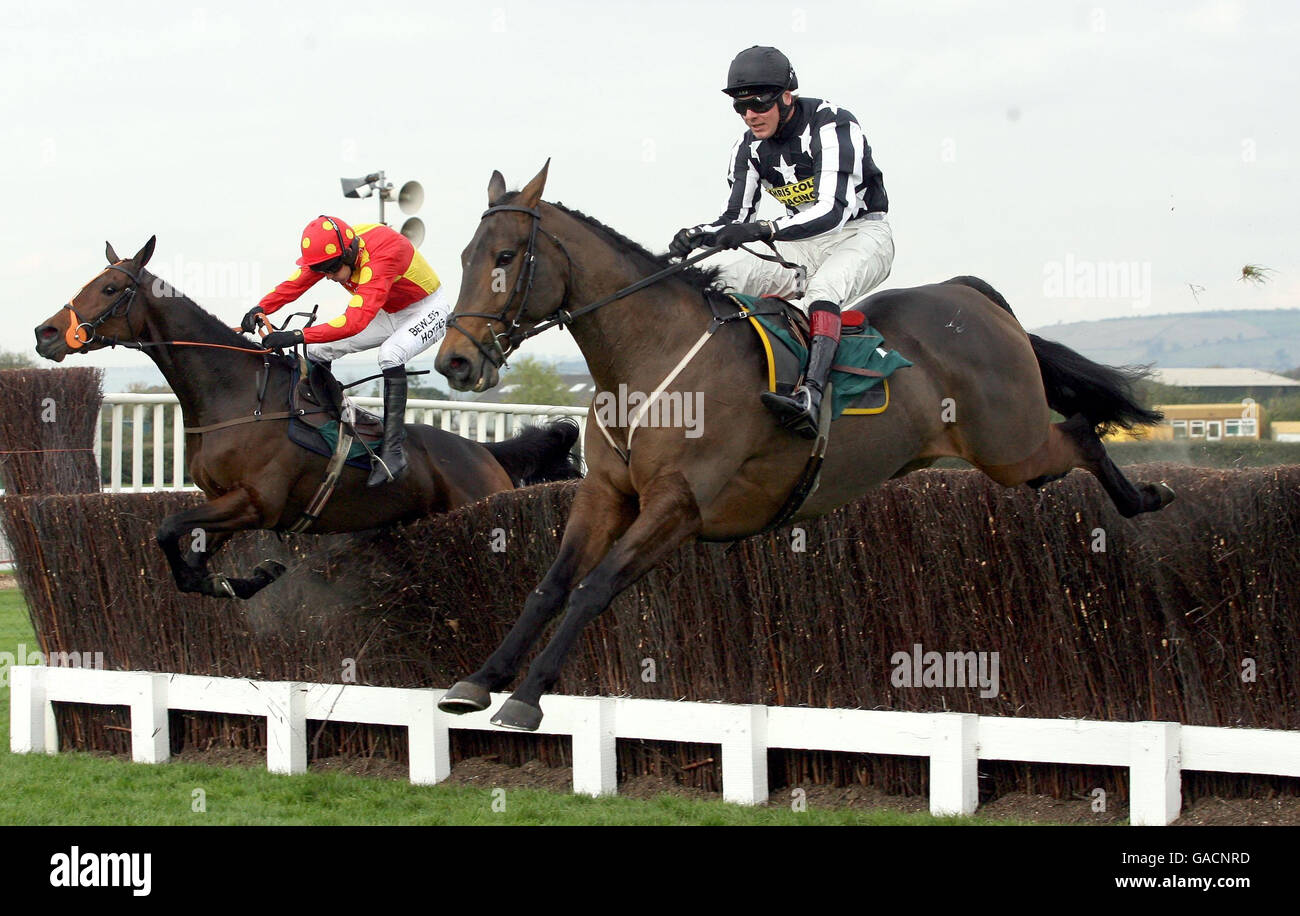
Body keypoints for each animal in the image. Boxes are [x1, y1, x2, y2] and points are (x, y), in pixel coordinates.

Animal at [32, 233, 582, 600]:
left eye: (109, 289)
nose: (46, 333)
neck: (239, 397)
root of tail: (483, 451)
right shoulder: (228, 502)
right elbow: (188, 556)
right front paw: (244, 580)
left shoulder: (256, 501)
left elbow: (168, 528)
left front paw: (239, 578)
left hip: (477, 500)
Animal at [428, 159, 1180, 727]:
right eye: (464, 257)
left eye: (504, 257)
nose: (455, 363)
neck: (650, 359)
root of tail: (972, 296)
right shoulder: (606, 492)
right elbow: (551, 585)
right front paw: (480, 680)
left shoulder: (679, 506)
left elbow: (593, 589)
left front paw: (526, 699)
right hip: (1012, 454)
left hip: (1010, 447)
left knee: (1080, 433)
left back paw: (1147, 498)